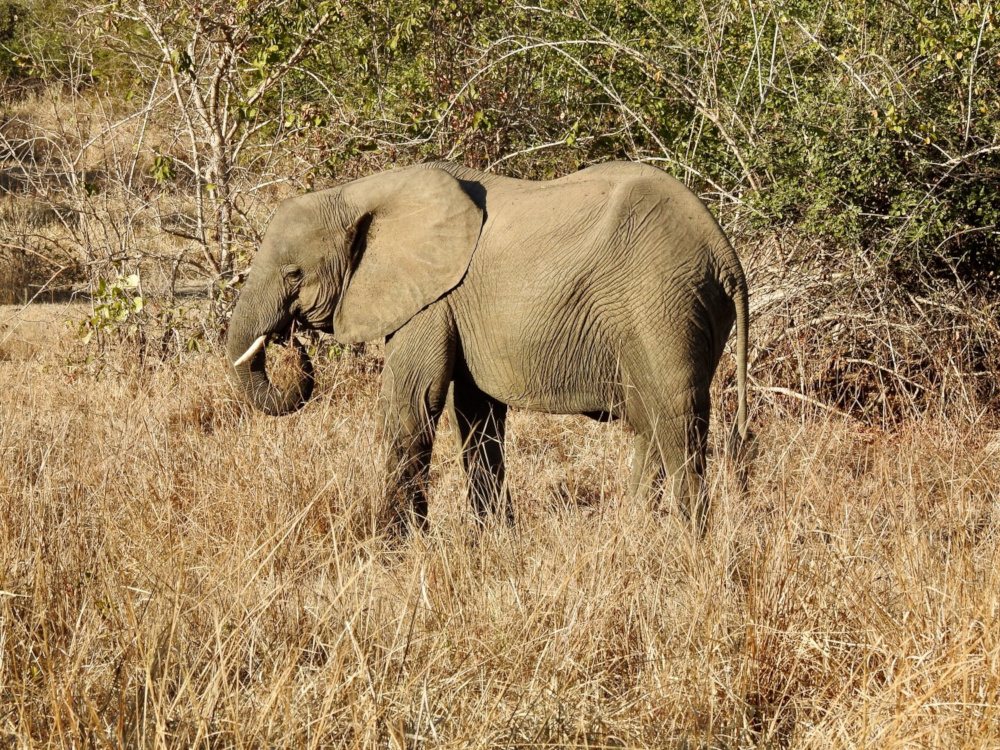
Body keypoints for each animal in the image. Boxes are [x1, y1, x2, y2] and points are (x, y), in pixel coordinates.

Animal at [225, 162, 744, 536]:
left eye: (294, 273)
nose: (291, 341)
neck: (362, 192)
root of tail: (724, 254)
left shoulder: (432, 300)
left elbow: (412, 404)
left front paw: (394, 546)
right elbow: (477, 415)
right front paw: (491, 540)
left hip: (662, 303)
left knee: (676, 421)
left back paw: (690, 548)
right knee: (650, 421)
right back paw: (636, 538)